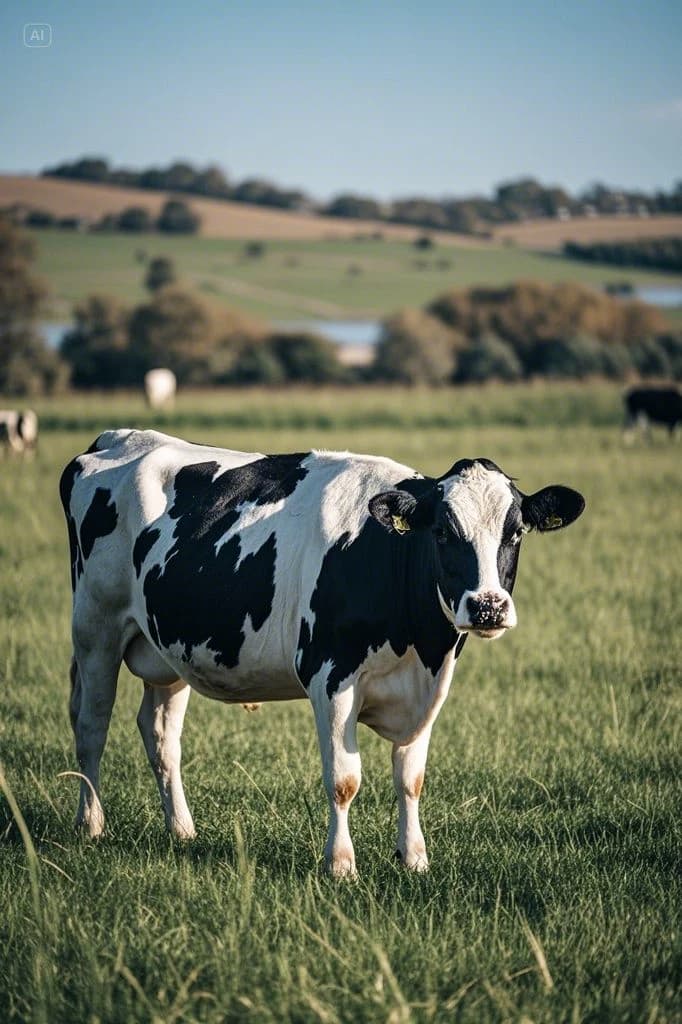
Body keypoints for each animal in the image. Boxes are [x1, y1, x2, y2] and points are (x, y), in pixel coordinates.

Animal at [60, 430, 585, 875]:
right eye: (442, 532)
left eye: (515, 533)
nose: (488, 606)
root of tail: (117, 438)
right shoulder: (331, 678)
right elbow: (344, 779)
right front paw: (341, 865)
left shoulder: (429, 686)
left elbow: (410, 777)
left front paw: (414, 858)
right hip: (95, 627)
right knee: (92, 725)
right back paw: (91, 824)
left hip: (168, 651)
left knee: (161, 736)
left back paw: (182, 831)